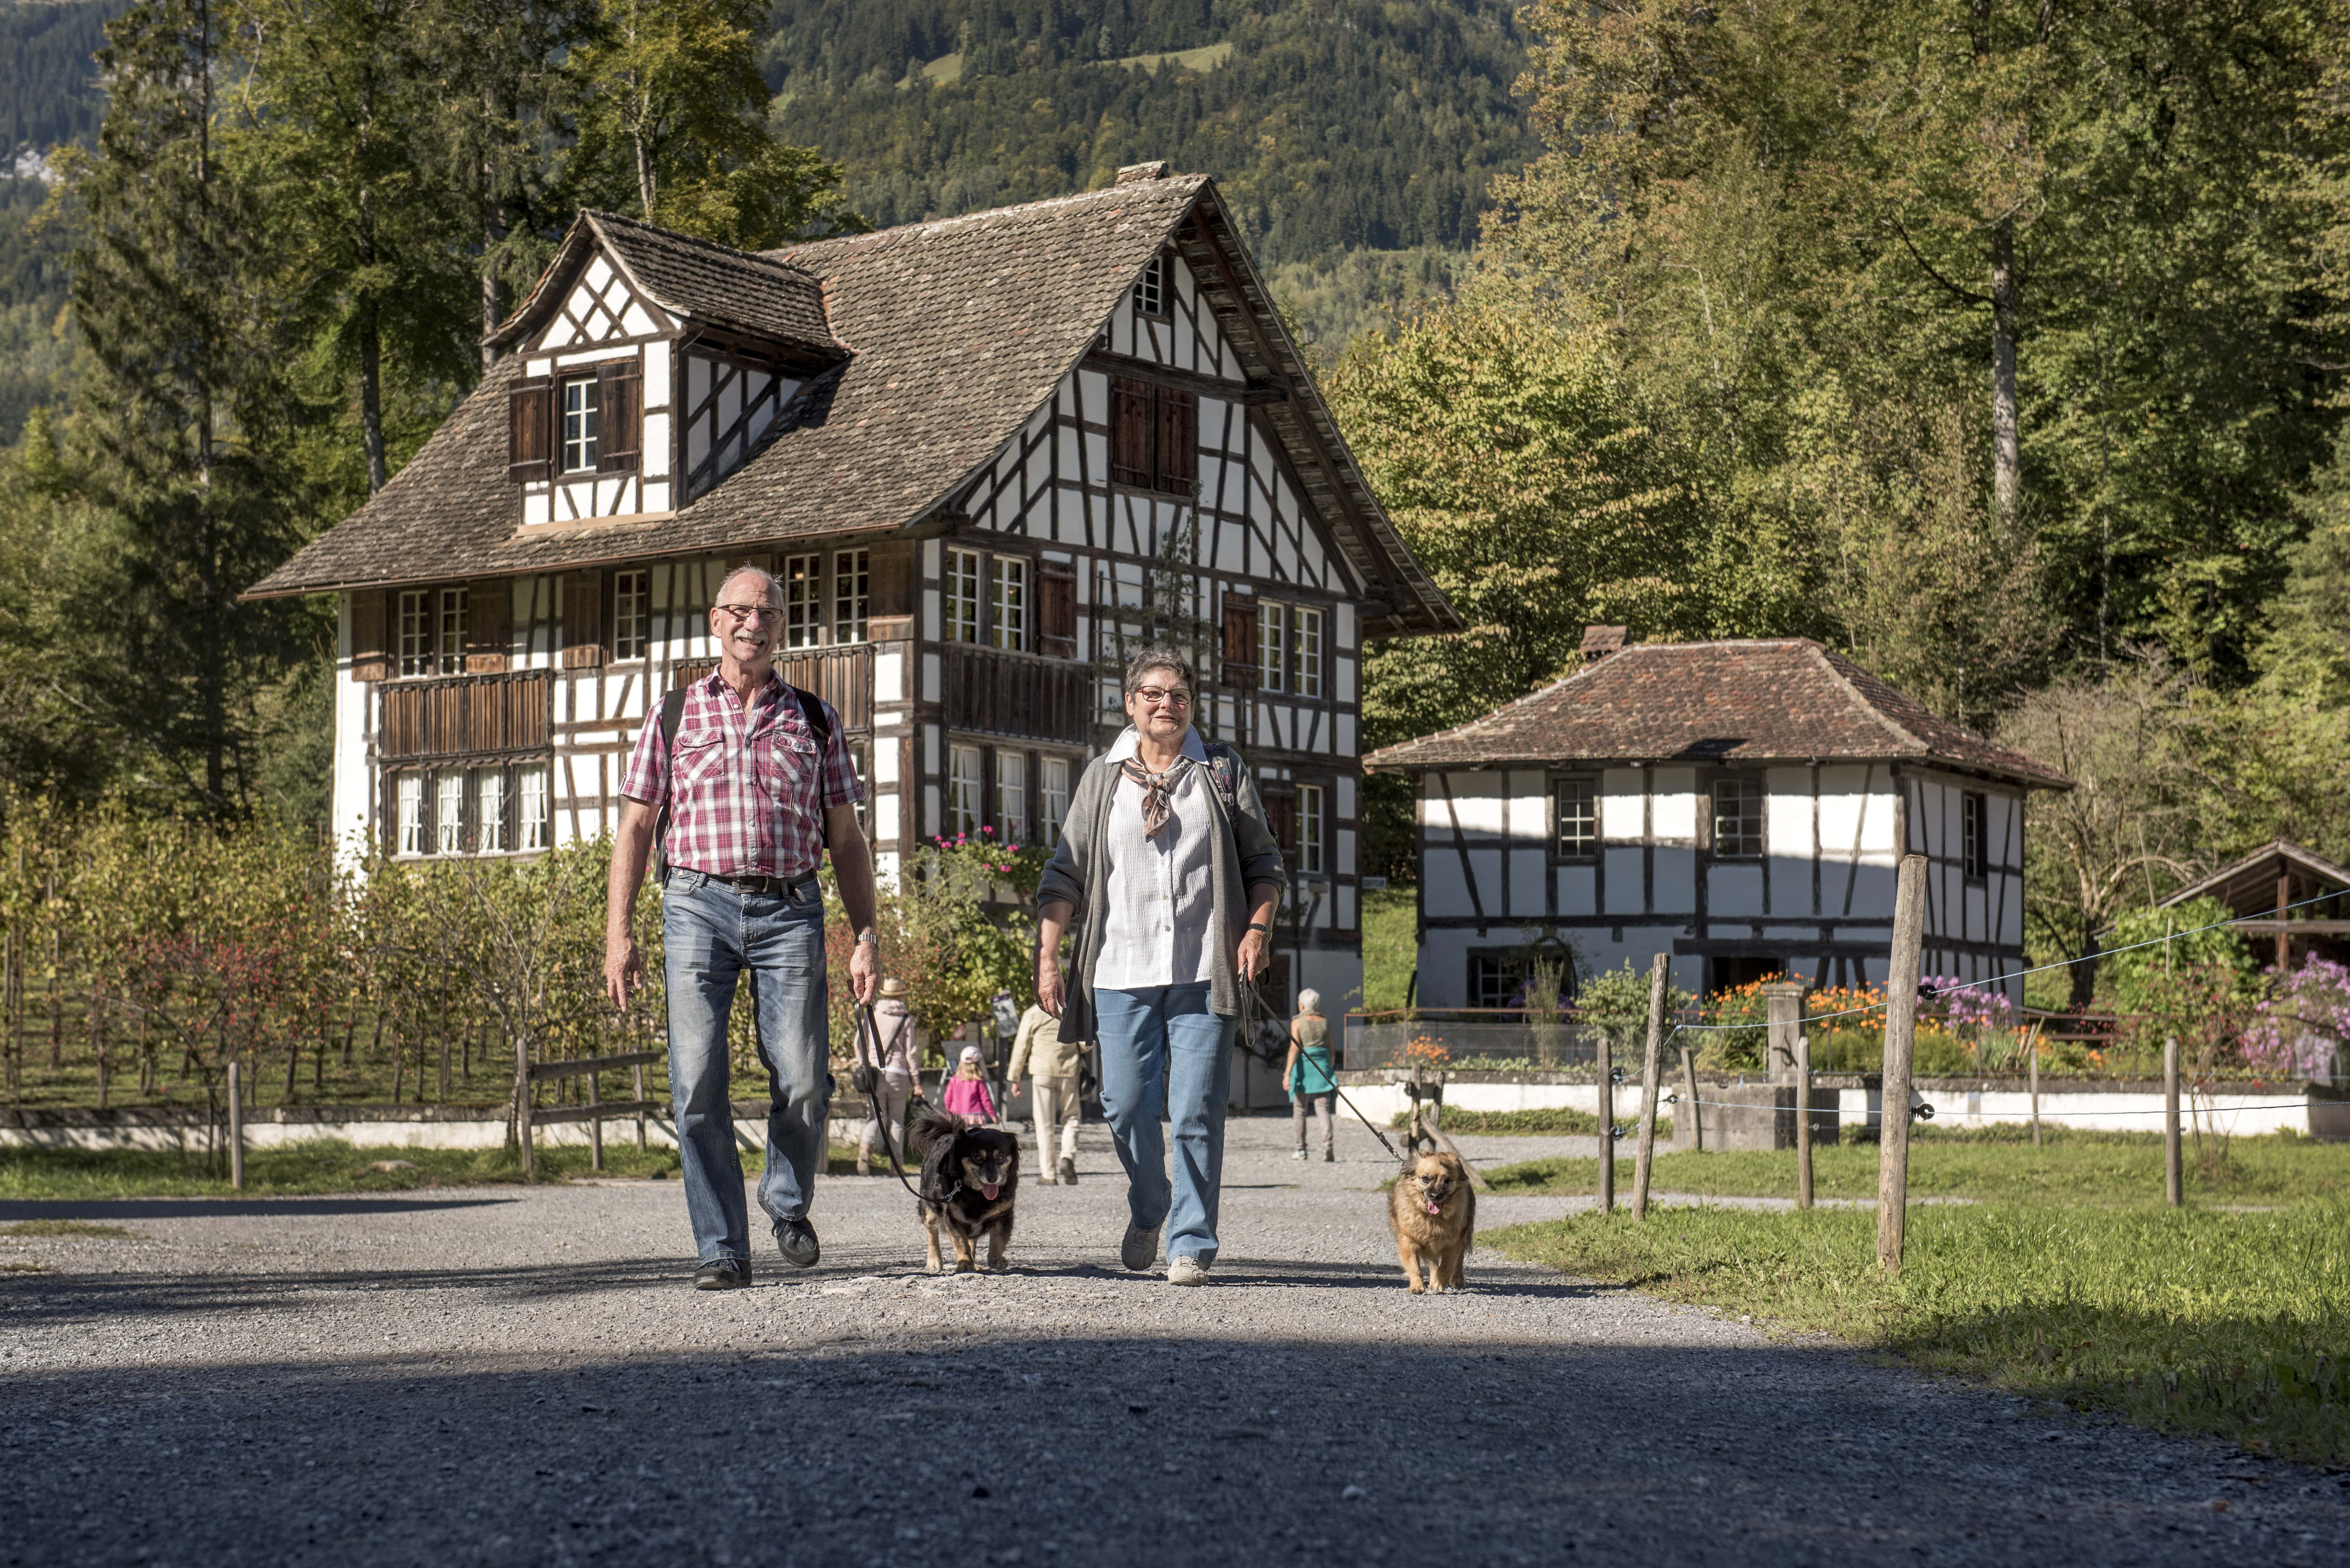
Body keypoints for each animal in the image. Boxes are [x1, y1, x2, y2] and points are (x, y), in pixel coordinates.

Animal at [902, 1105, 1015, 1279]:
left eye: (1001, 1157)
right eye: (977, 1157)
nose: (993, 1178)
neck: (977, 1194)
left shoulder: (1004, 1215)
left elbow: (998, 1240)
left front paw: (996, 1260)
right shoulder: (952, 1217)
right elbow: (961, 1243)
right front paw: (965, 1264)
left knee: (972, 1239)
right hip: (929, 1208)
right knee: (932, 1233)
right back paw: (934, 1261)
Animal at [1382, 1147, 1476, 1298]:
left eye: (1447, 1181)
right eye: (1425, 1179)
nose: (1435, 1196)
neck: (1432, 1219)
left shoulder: (1453, 1244)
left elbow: (1446, 1267)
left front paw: (1438, 1284)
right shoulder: (1409, 1241)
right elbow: (1415, 1267)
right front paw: (1417, 1287)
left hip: (1465, 1232)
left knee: (1459, 1260)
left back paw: (1457, 1280)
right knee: (1433, 1262)